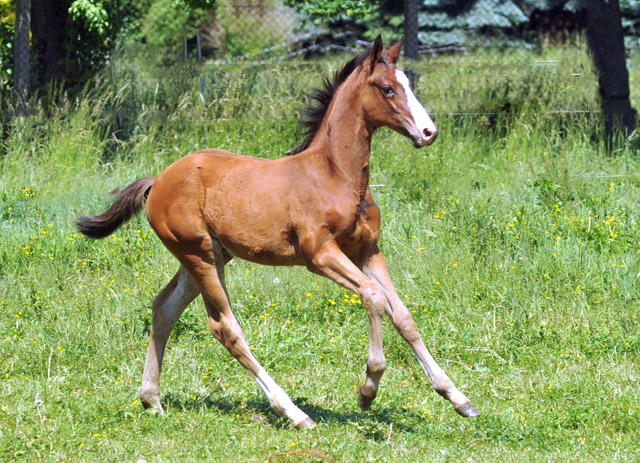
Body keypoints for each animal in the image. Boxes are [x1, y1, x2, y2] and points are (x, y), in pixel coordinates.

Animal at [77, 37, 478, 432]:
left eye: (409, 83)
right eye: (387, 88)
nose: (429, 133)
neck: (335, 176)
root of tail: (158, 180)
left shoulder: (368, 251)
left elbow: (404, 316)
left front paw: (458, 398)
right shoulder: (320, 255)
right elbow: (374, 297)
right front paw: (367, 390)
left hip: (209, 256)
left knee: (164, 309)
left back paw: (152, 400)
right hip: (200, 255)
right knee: (226, 328)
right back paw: (295, 413)